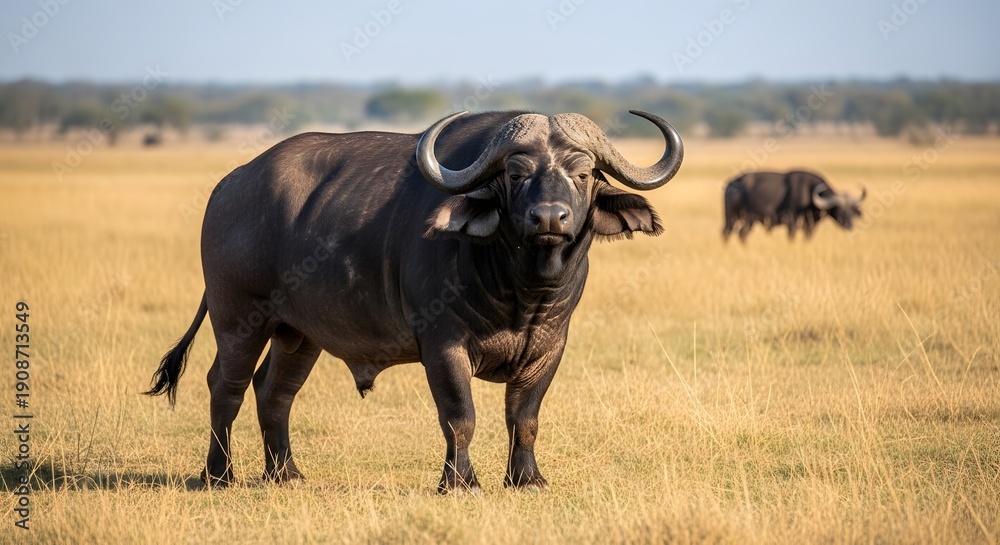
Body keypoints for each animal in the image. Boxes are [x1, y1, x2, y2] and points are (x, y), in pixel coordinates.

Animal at [145, 110, 683, 493]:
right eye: (515, 173)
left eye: (584, 173)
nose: (549, 217)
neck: (520, 290)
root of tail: (229, 186)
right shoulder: (442, 346)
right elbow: (460, 416)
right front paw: (461, 483)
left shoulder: (550, 346)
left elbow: (524, 417)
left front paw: (527, 480)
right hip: (239, 317)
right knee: (226, 386)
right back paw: (219, 475)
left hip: (299, 334)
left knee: (274, 391)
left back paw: (286, 474)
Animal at [722, 170, 866, 242]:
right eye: (839, 209)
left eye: (851, 211)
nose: (848, 225)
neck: (809, 193)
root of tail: (731, 184)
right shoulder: (791, 220)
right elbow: (791, 235)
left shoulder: (809, 224)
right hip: (732, 218)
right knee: (727, 232)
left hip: (749, 220)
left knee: (742, 233)